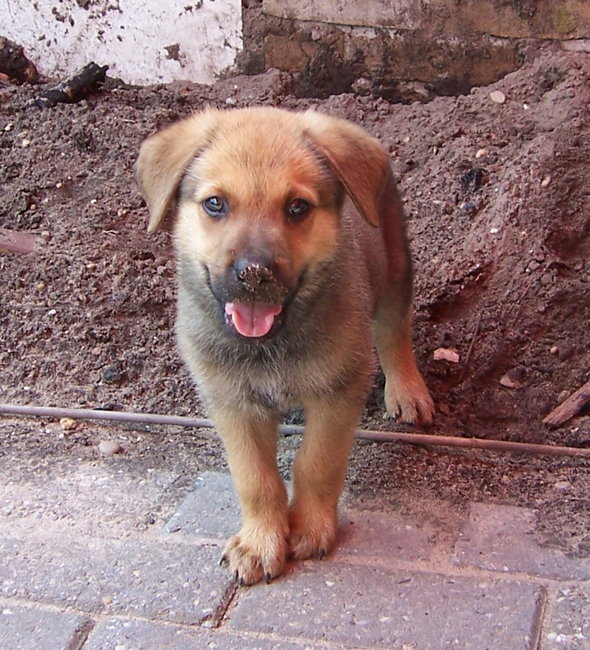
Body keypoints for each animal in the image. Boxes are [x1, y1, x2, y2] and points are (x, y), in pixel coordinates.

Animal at [138, 106, 434, 584]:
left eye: (297, 208)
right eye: (215, 204)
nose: (254, 274)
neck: (270, 345)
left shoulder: (337, 391)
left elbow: (316, 464)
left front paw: (310, 527)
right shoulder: (232, 402)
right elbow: (255, 479)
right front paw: (261, 542)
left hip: (395, 261)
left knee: (395, 330)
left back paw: (407, 389)